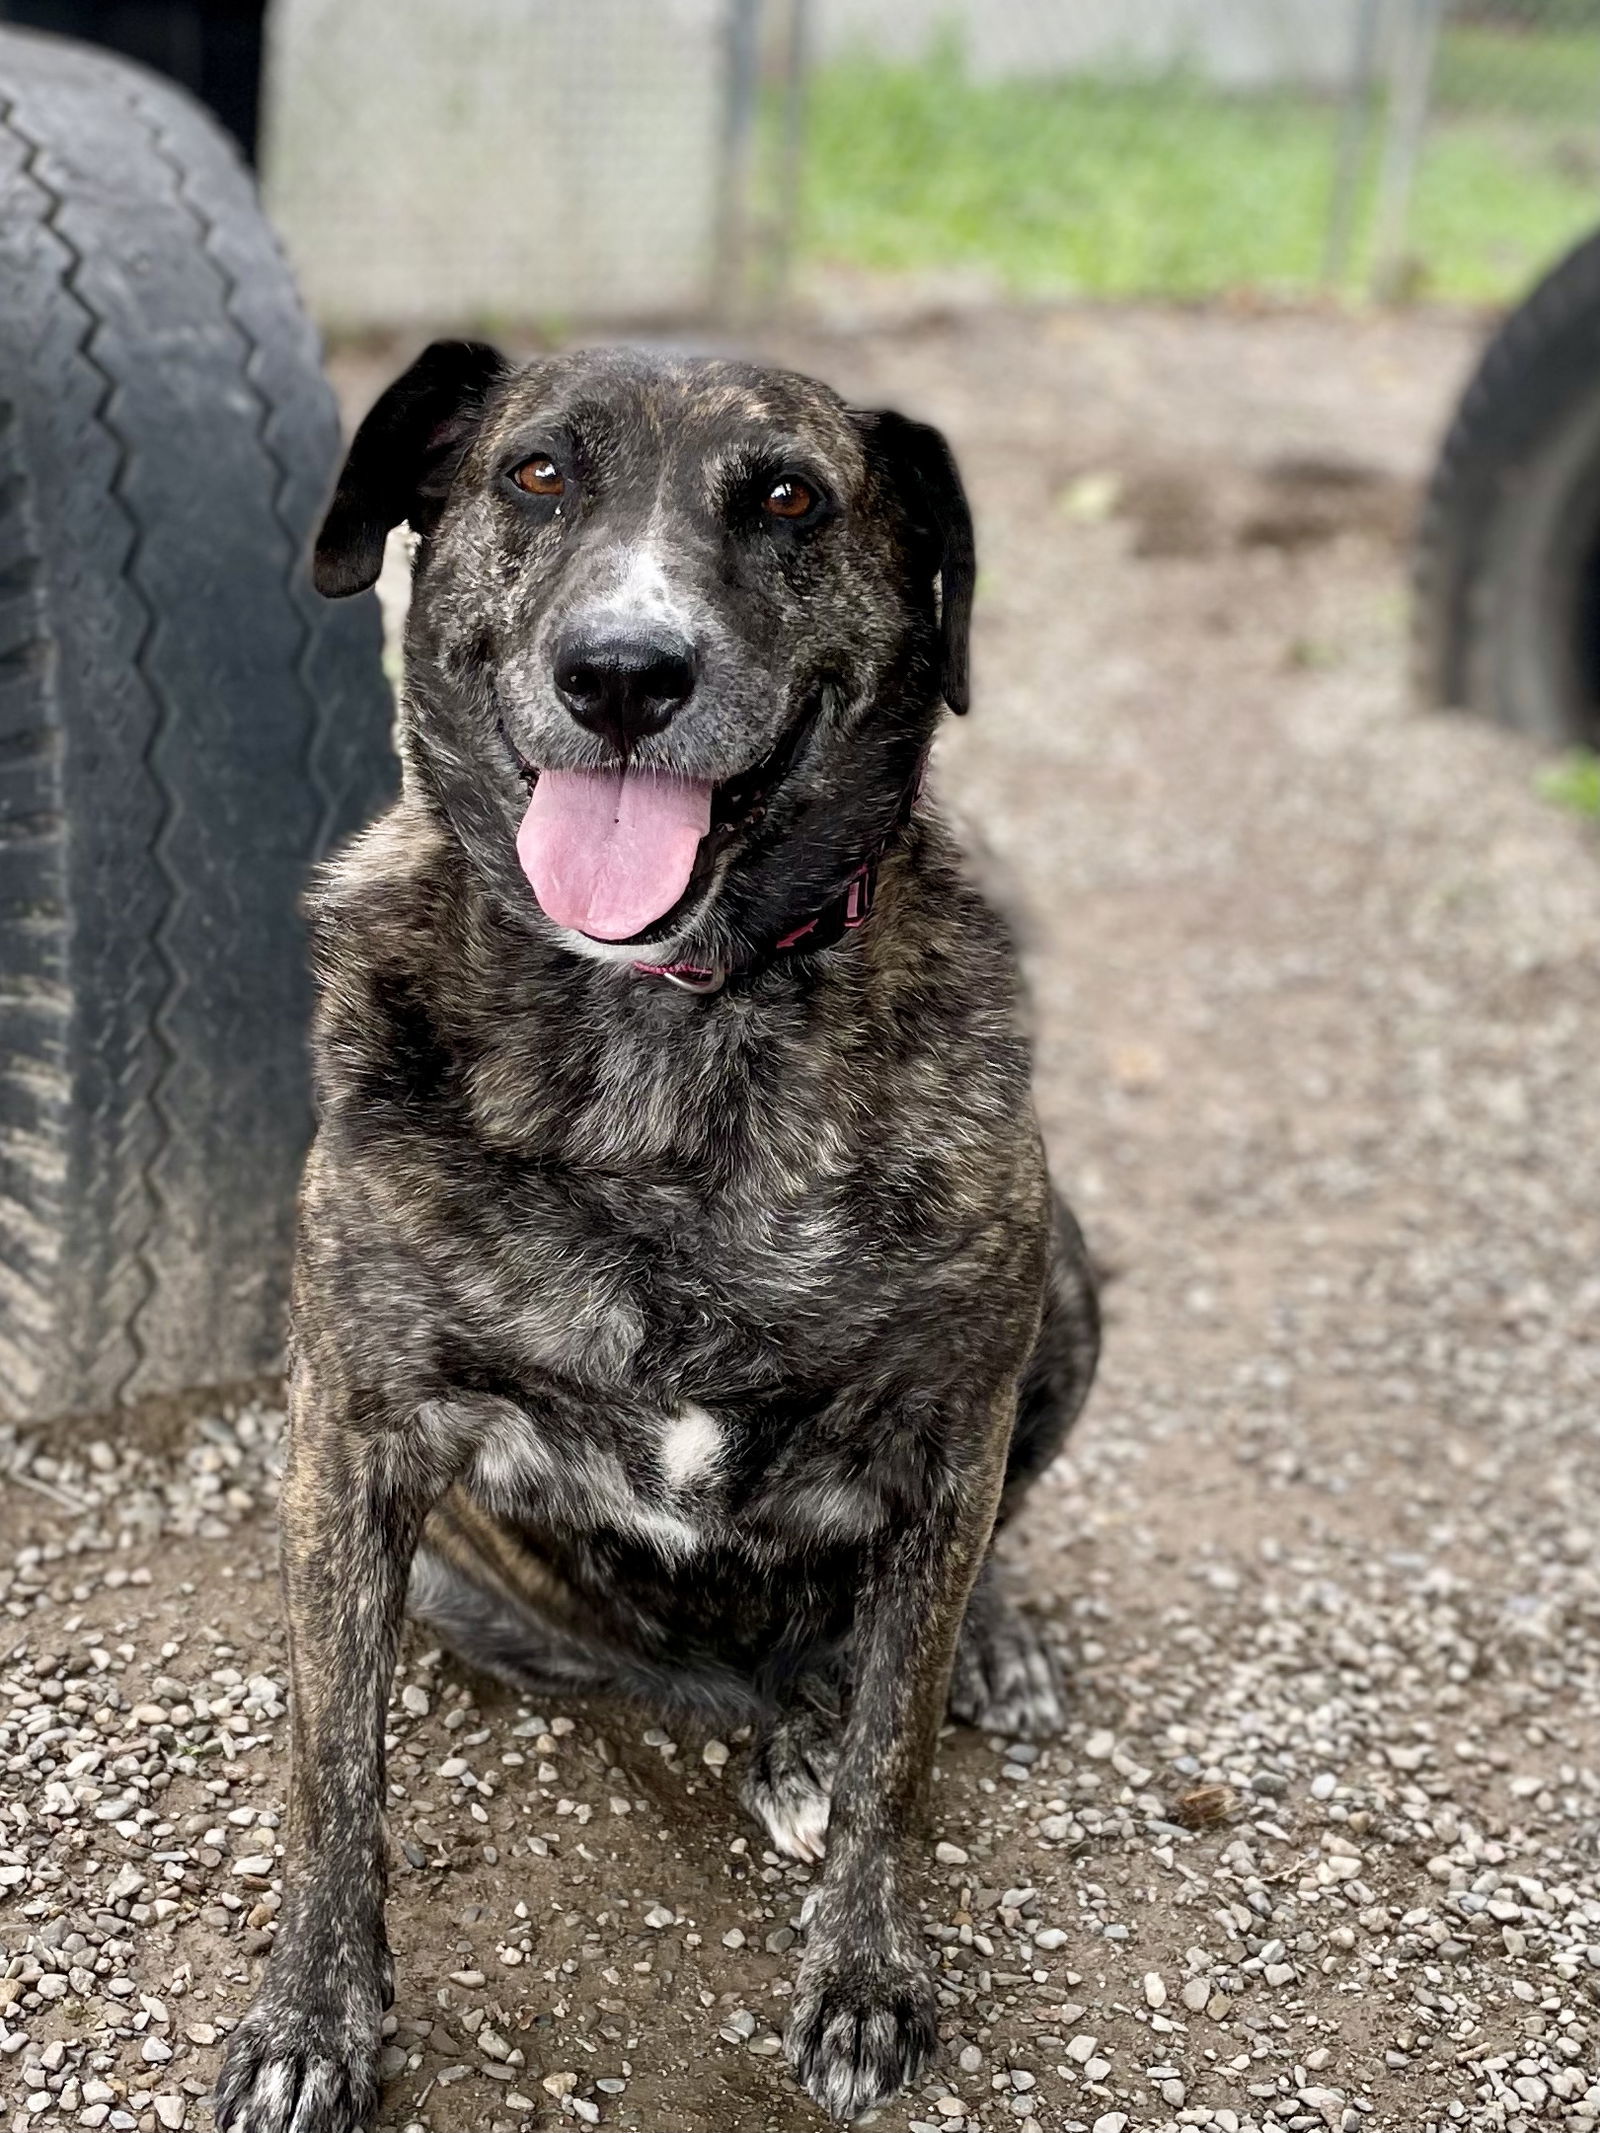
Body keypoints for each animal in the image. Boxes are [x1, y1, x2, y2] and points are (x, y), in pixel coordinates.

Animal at [213, 341, 1100, 2124]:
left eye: (791, 499)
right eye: (537, 474)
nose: (624, 673)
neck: (663, 1028)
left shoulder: (951, 1430)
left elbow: (900, 1749)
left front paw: (863, 1973)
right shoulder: (349, 1434)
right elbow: (332, 1767)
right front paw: (313, 2018)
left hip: (1077, 1294)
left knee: (900, 1622)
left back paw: (952, 1664)